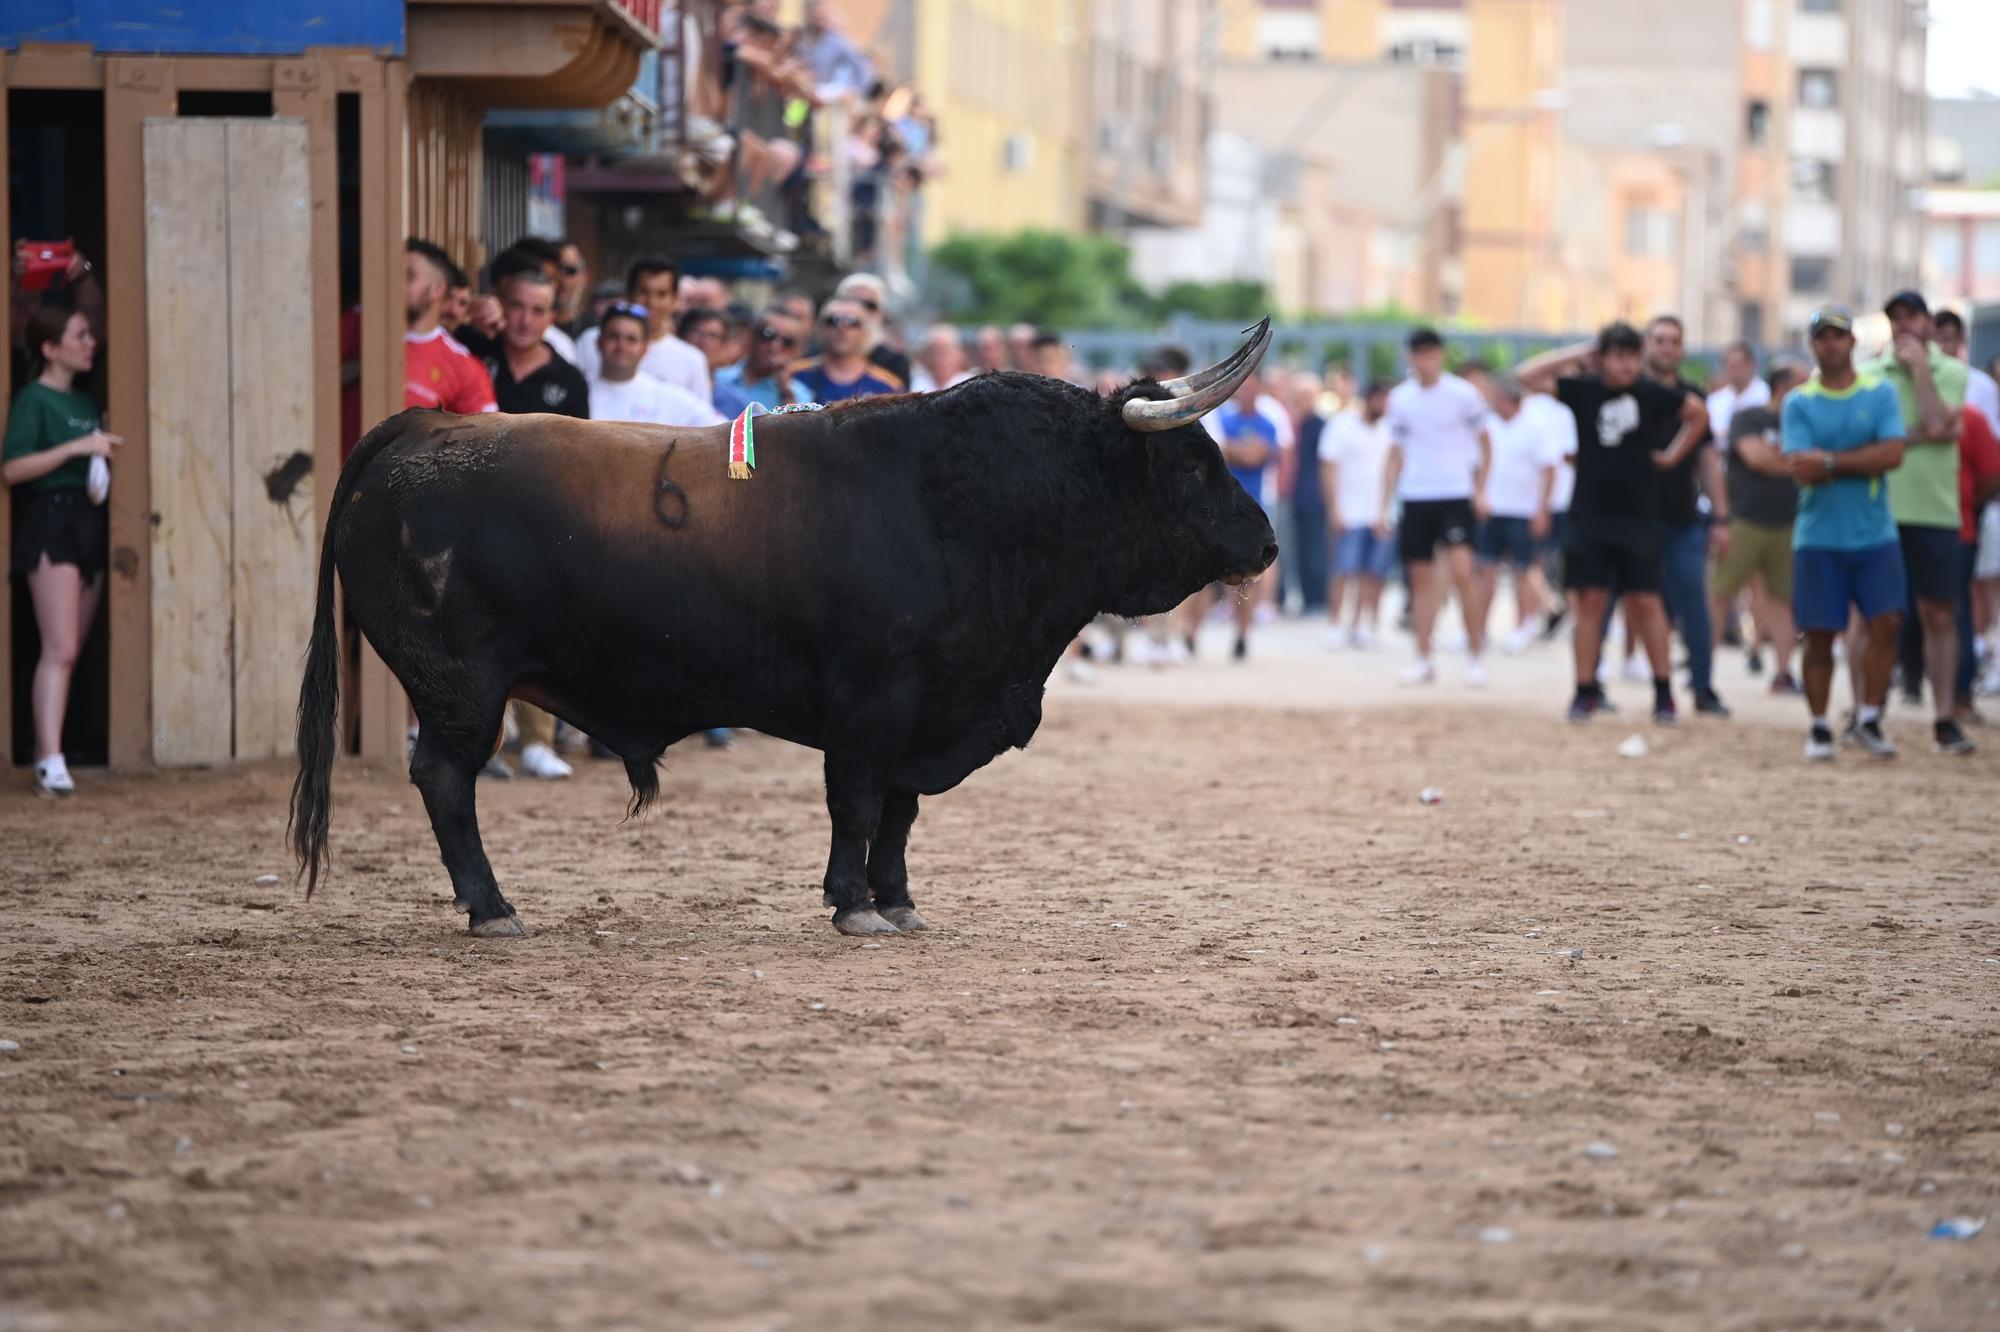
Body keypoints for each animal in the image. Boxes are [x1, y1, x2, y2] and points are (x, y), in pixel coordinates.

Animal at [290, 318, 1272, 932]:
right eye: (1192, 466)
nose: (1264, 542)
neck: (962, 502)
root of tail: (423, 428)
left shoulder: (926, 709)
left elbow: (900, 815)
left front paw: (897, 899)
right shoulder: (872, 702)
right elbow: (858, 803)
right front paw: (853, 904)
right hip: (461, 689)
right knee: (445, 781)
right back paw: (492, 907)